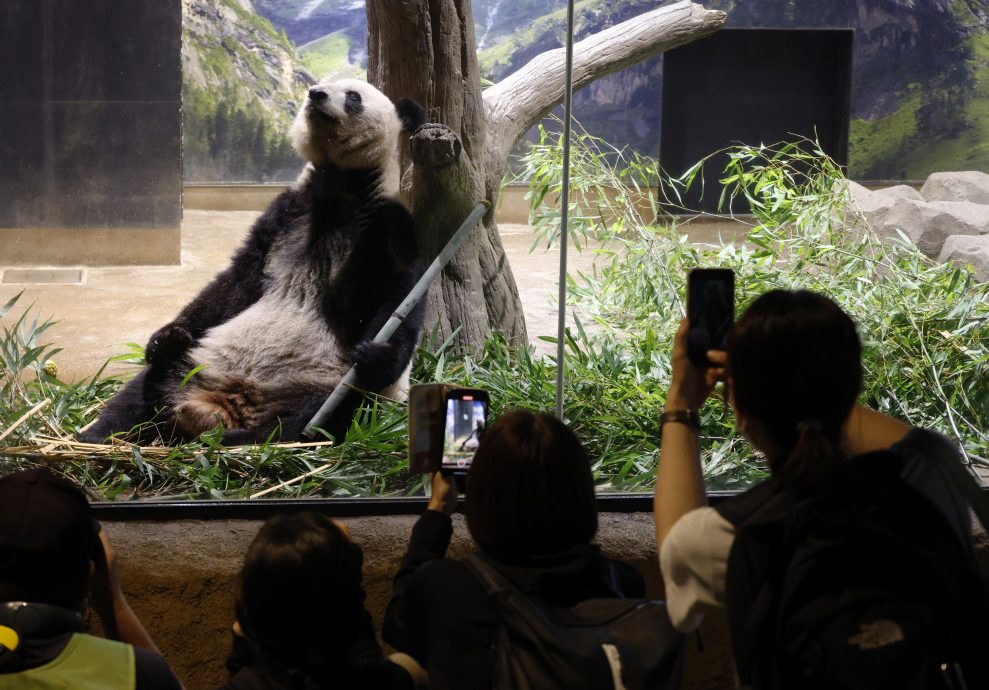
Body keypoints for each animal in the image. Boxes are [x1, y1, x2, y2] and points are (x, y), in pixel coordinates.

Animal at [79, 79, 426, 446]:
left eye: (353, 97)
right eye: (322, 83)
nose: (315, 94)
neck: (341, 184)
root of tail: (230, 403)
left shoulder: (386, 223)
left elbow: (400, 294)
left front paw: (376, 355)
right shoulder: (287, 212)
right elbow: (236, 280)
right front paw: (165, 334)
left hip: (319, 381)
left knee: (307, 416)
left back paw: (241, 438)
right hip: (201, 364)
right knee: (146, 387)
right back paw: (101, 433)